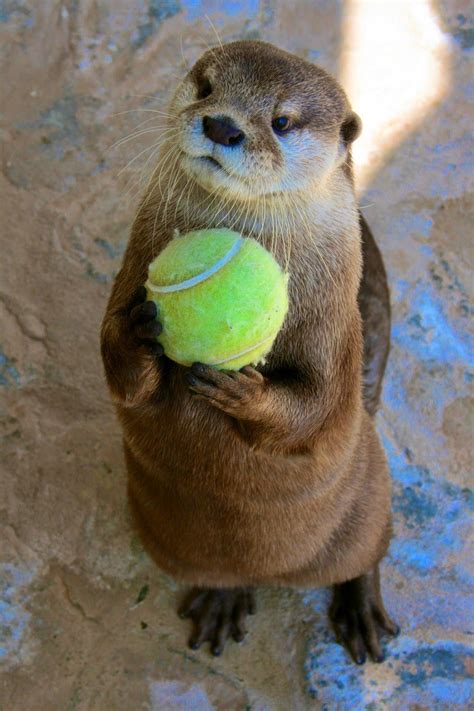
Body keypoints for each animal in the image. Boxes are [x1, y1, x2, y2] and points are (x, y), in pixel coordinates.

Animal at [101, 40, 399, 663]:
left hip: (371, 500)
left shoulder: (337, 332)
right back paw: (223, 599)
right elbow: (117, 364)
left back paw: (361, 610)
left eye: (282, 121)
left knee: (371, 550)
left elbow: (317, 406)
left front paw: (243, 391)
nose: (222, 125)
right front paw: (143, 333)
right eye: (206, 86)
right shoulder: (129, 273)